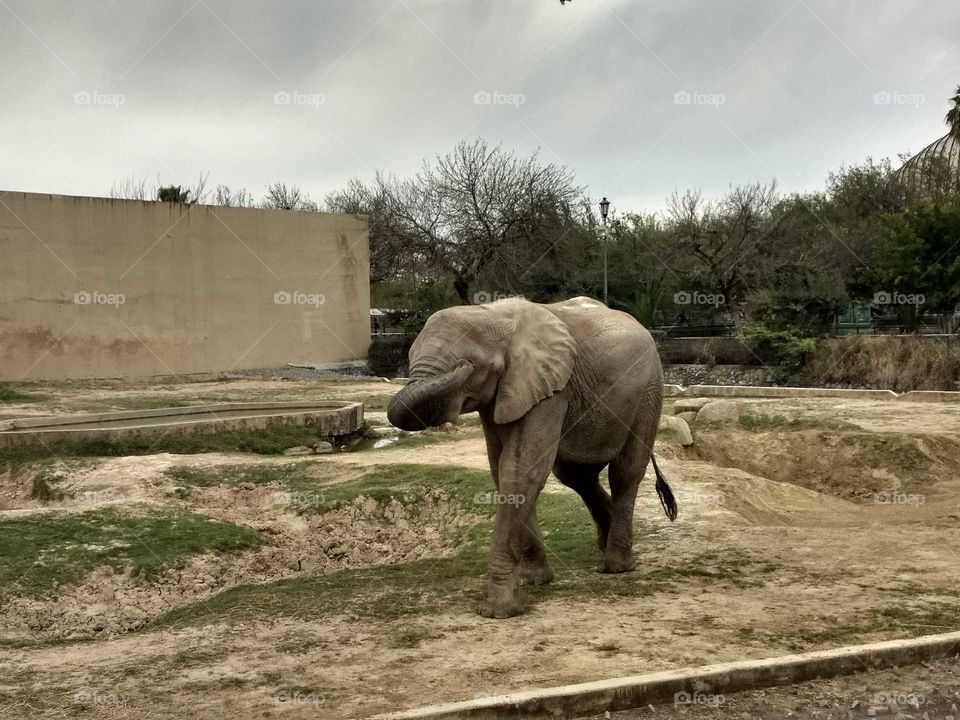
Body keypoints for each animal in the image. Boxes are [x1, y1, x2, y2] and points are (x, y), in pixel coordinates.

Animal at [387, 296, 677, 618]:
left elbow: (521, 469)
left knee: (625, 472)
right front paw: (534, 580)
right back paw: (608, 545)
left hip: (649, 391)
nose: (461, 367)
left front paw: (499, 611)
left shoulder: (550, 390)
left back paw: (616, 566)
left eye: (474, 366)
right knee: (577, 476)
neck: (496, 314)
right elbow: (504, 469)